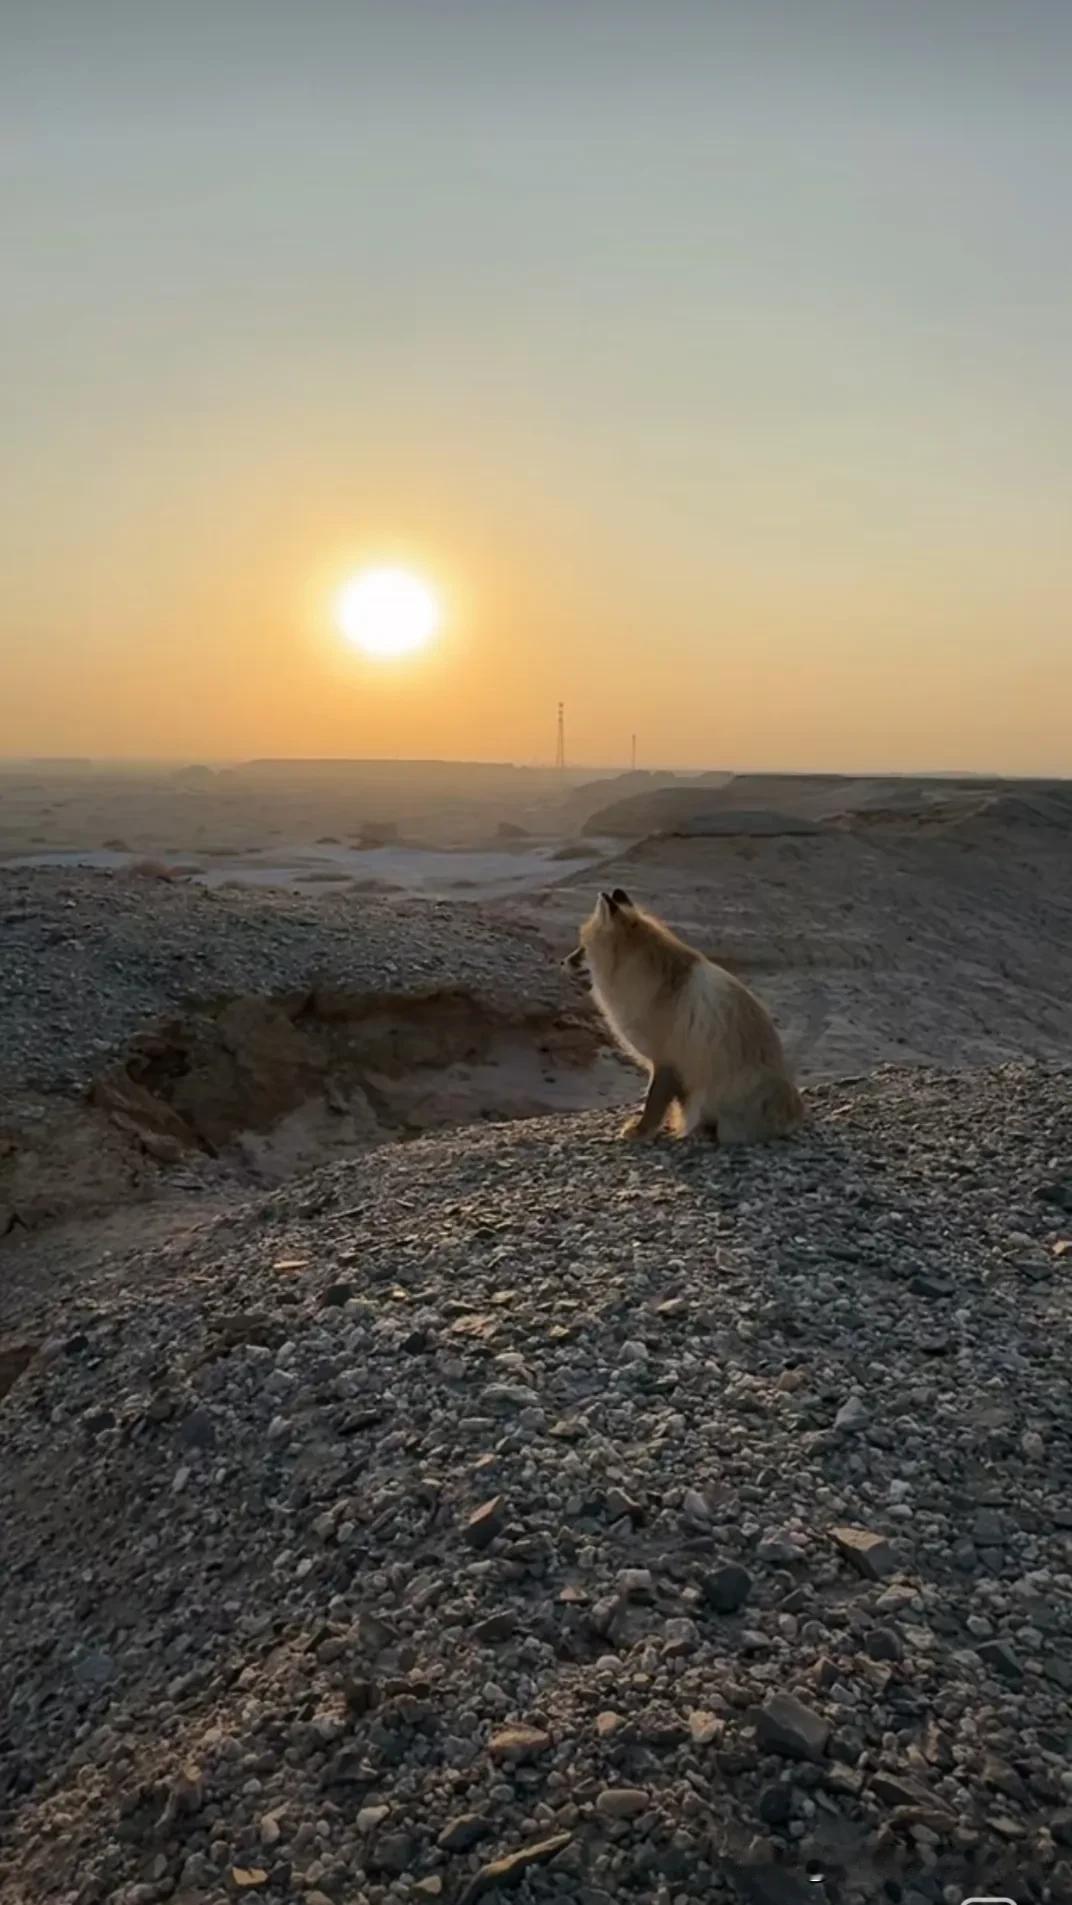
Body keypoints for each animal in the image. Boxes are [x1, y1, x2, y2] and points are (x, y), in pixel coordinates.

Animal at [563, 891, 807, 1143]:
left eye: (583, 948)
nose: (563, 962)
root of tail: (794, 1115)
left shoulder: (666, 1060)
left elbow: (654, 1102)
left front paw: (643, 1130)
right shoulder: (674, 1070)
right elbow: (674, 1103)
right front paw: (673, 1125)